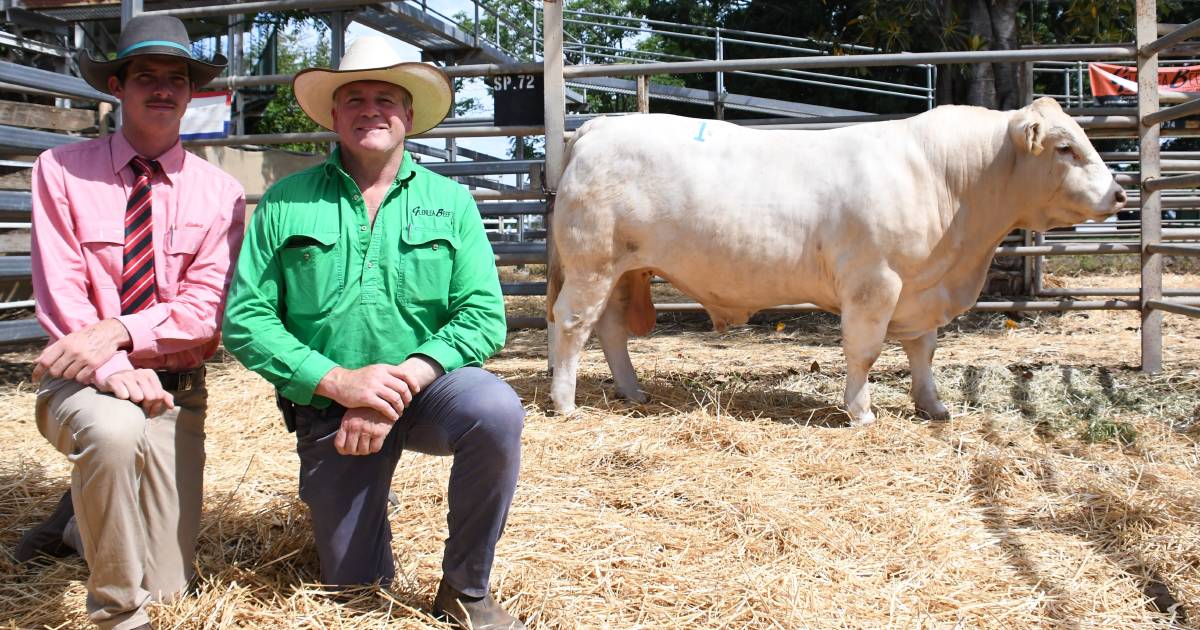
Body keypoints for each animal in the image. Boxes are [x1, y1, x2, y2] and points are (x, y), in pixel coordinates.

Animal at [549, 97, 1128, 422]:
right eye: (1064, 148)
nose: (1119, 194)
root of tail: (597, 128)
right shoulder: (875, 283)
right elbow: (864, 351)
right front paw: (861, 411)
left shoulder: (922, 286)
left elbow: (923, 352)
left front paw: (933, 407)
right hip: (592, 264)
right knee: (571, 324)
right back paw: (565, 402)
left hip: (624, 270)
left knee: (611, 329)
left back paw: (633, 392)